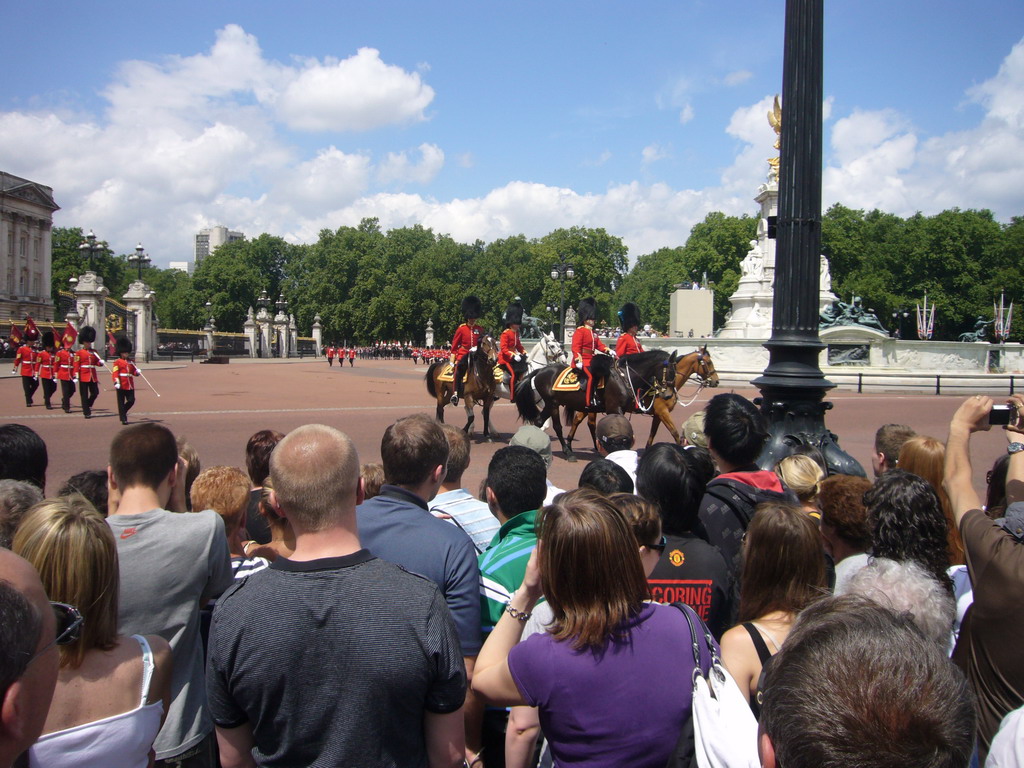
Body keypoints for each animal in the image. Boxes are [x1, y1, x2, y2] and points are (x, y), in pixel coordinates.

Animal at [520, 348, 720, 462]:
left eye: (674, 370)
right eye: (708, 362)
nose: (716, 381)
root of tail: (542, 370)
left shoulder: (656, 413)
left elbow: (653, 433)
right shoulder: (623, 409)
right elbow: (674, 432)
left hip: (566, 405)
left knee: (545, 422)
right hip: (553, 403)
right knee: (558, 426)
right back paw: (568, 452)